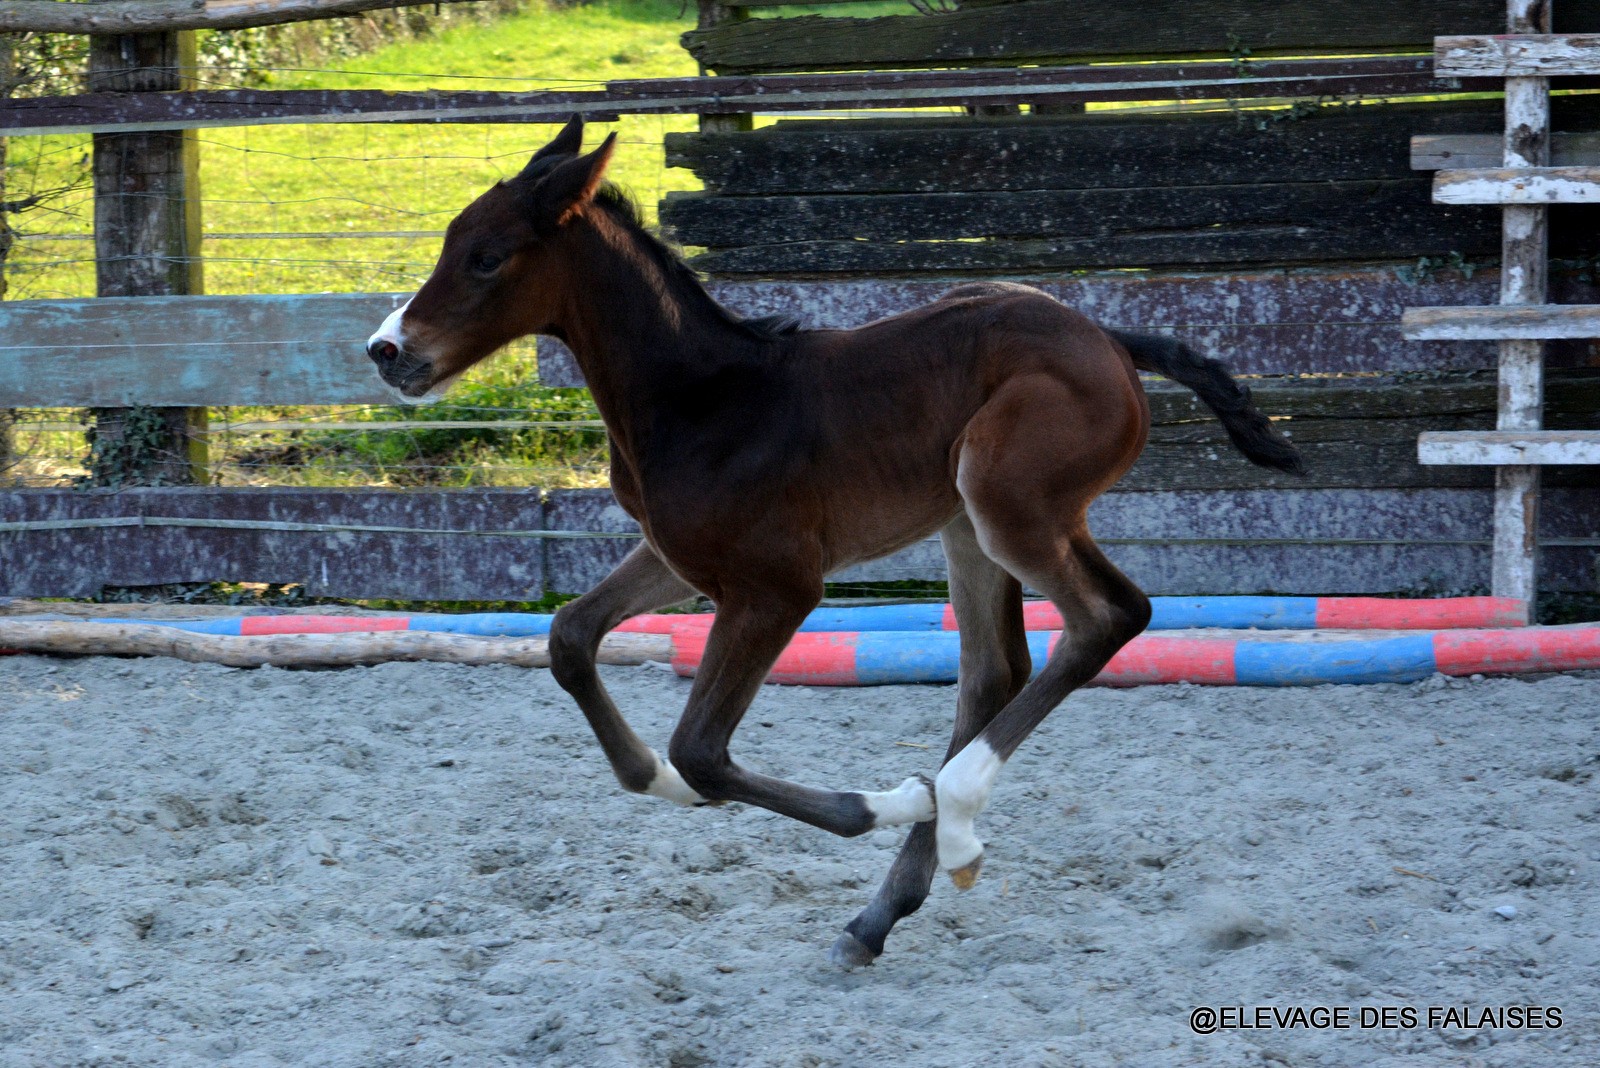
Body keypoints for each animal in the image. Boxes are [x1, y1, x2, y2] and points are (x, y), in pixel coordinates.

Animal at [368, 119, 1305, 965]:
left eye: (486, 257)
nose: (386, 350)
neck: (700, 399)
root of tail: (1109, 338)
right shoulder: (681, 560)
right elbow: (571, 639)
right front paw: (654, 778)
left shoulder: (779, 587)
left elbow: (703, 750)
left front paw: (897, 799)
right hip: (968, 524)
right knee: (996, 670)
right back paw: (885, 909)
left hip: (1011, 507)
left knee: (1109, 617)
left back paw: (950, 812)